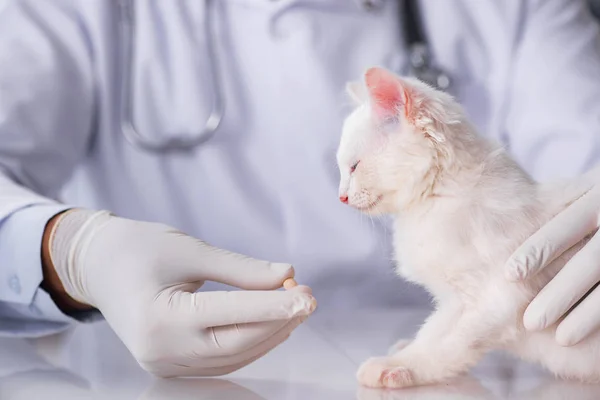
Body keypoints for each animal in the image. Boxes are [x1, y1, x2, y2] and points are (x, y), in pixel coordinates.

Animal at [338, 67, 600, 390]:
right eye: (343, 168)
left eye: (354, 166)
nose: (341, 196)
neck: (439, 196)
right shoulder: (457, 301)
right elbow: (434, 332)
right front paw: (402, 350)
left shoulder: (489, 300)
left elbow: (439, 343)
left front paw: (397, 366)